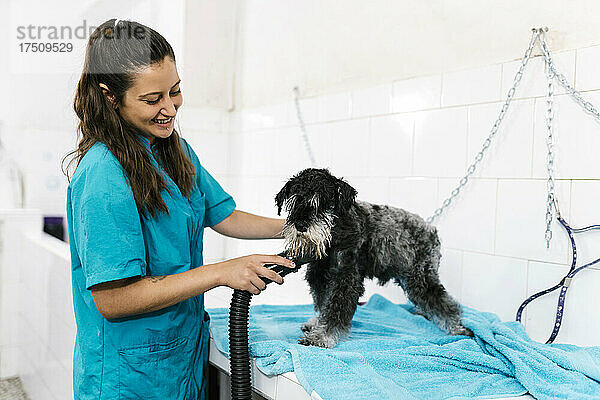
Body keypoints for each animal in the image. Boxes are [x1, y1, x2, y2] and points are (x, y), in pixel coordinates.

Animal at [276, 167, 474, 348]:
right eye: (295, 200)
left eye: (323, 202)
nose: (301, 225)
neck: (336, 232)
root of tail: (432, 230)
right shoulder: (320, 276)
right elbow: (323, 302)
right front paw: (316, 325)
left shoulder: (346, 278)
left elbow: (334, 308)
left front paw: (321, 337)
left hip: (420, 279)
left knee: (445, 303)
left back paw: (457, 327)